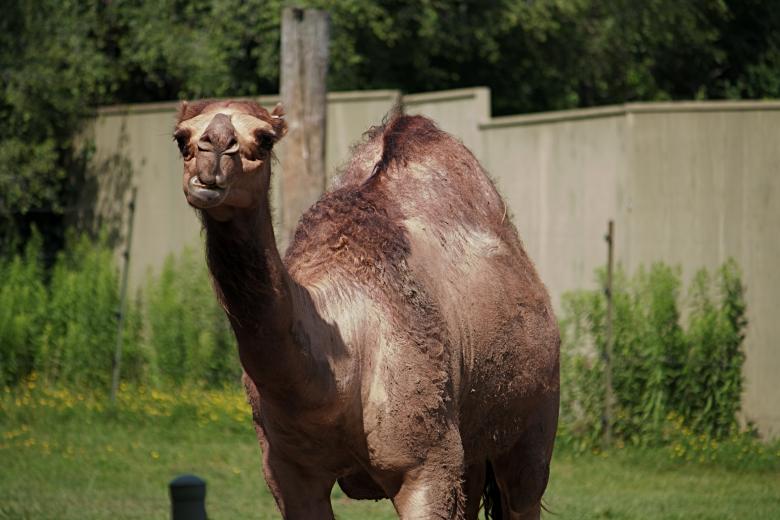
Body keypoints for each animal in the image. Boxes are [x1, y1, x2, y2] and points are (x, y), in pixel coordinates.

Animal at [173, 99, 559, 519]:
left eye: (264, 139)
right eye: (181, 138)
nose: (213, 151)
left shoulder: (427, 467)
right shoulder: (286, 473)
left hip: (533, 424)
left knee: (524, 489)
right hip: (473, 453)